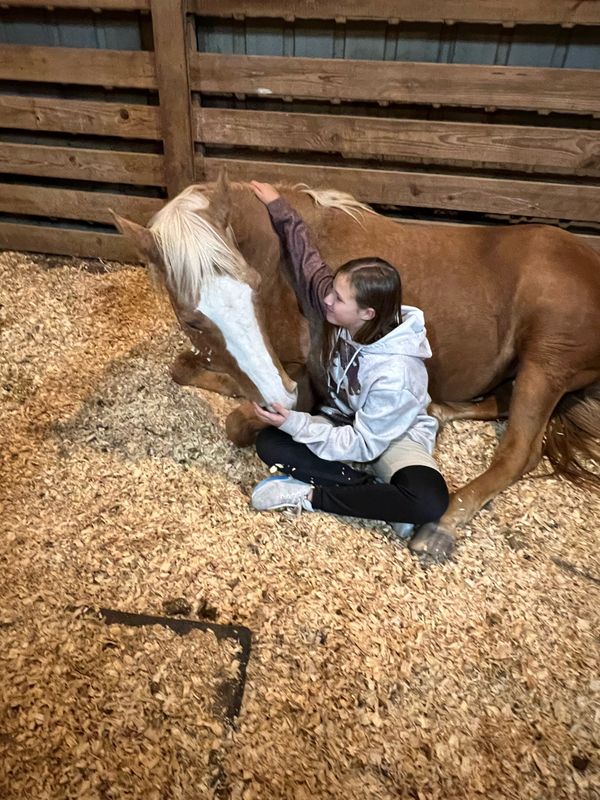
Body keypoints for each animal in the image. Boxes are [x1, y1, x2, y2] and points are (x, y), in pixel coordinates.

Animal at [112, 171, 600, 562]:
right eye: (192, 319)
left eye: (253, 287)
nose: (278, 396)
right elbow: (186, 369)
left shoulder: (301, 381)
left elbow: (239, 421)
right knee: (497, 404)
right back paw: (439, 412)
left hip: (545, 362)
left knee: (519, 451)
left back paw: (439, 526)